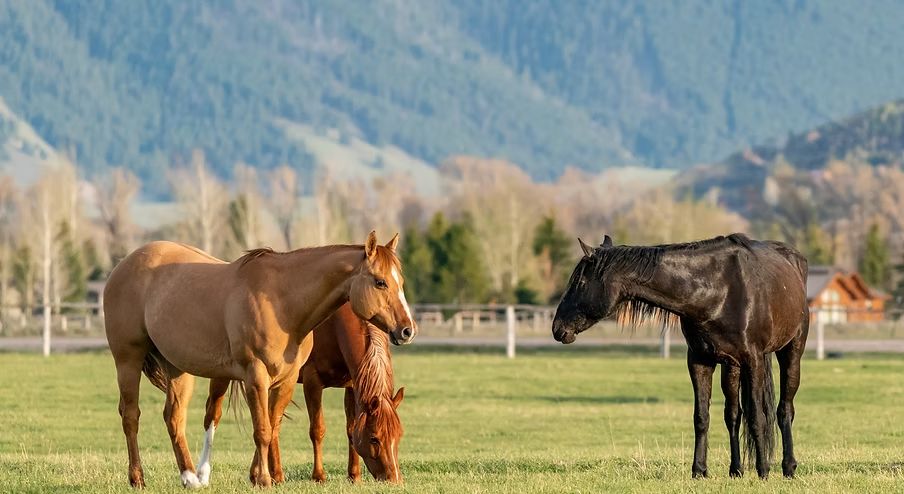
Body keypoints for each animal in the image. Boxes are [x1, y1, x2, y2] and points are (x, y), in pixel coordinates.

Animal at [201, 303, 404, 484]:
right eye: (374, 439)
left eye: (399, 435)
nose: (394, 479)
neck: (334, 326)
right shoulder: (312, 382)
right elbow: (317, 429)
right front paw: (318, 476)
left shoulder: (352, 386)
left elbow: (351, 429)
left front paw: (354, 476)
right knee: (213, 414)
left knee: (271, 421)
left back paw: (263, 474)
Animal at [552, 233, 808, 479]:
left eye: (580, 282)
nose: (557, 328)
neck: (718, 290)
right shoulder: (699, 361)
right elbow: (702, 417)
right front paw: (699, 470)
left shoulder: (753, 361)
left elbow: (757, 417)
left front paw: (763, 471)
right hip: (731, 367)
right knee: (733, 415)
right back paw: (736, 470)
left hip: (790, 352)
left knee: (784, 409)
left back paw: (788, 467)